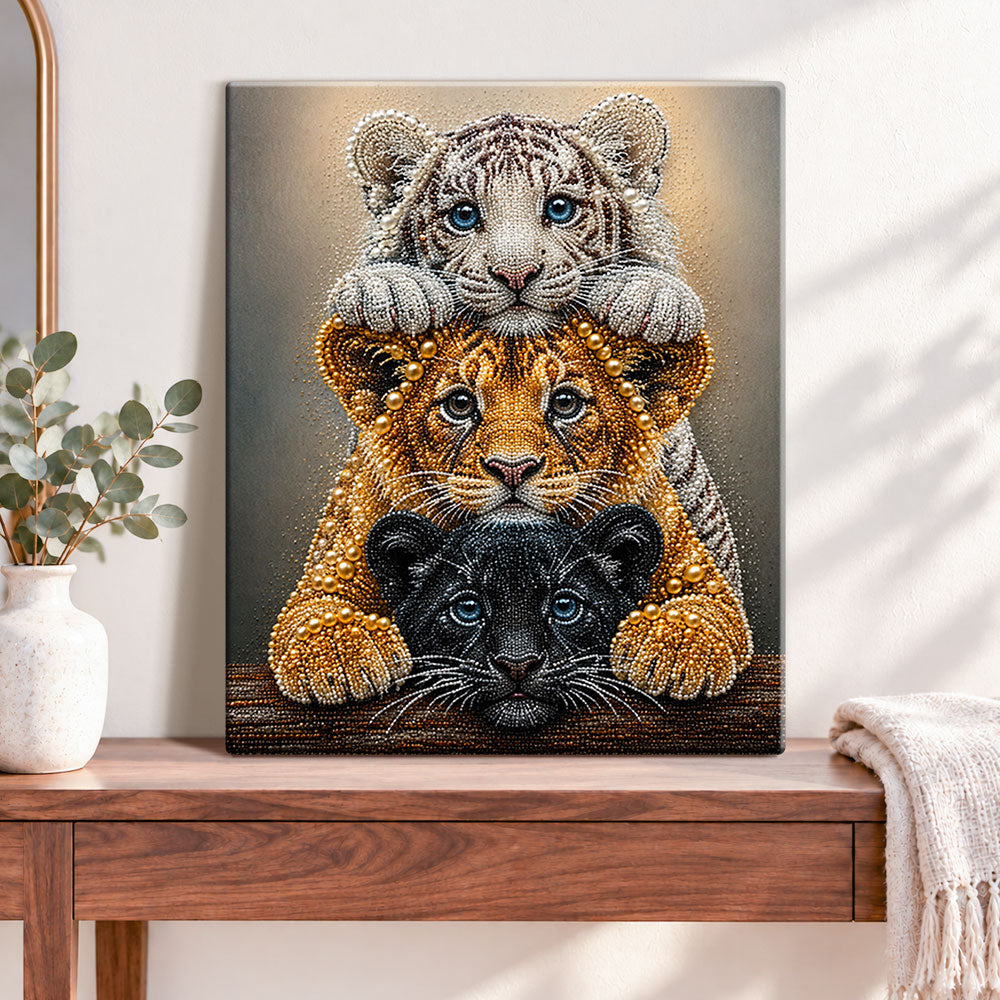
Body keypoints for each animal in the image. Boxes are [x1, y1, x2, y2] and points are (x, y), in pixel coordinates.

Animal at [267, 314, 752, 707]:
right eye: (460, 404)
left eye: (565, 402)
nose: (512, 467)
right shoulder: (338, 564)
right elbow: (316, 611)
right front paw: (338, 661)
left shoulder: (693, 568)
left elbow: (705, 610)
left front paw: (677, 652)